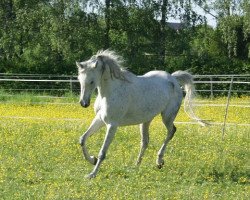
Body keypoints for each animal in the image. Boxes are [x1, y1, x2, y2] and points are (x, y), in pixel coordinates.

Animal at [76, 50, 205, 178]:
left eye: (91, 81)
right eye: (79, 80)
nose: (84, 103)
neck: (110, 92)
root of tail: (173, 79)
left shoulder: (112, 125)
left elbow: (102, 152)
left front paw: (92, 174)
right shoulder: (100, 120)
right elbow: (82, 139)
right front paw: (92, 160)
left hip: (167, 116)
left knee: (171, 131)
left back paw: (159, 161)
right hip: (146, 120)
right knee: (145, 142)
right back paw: (136, 166)